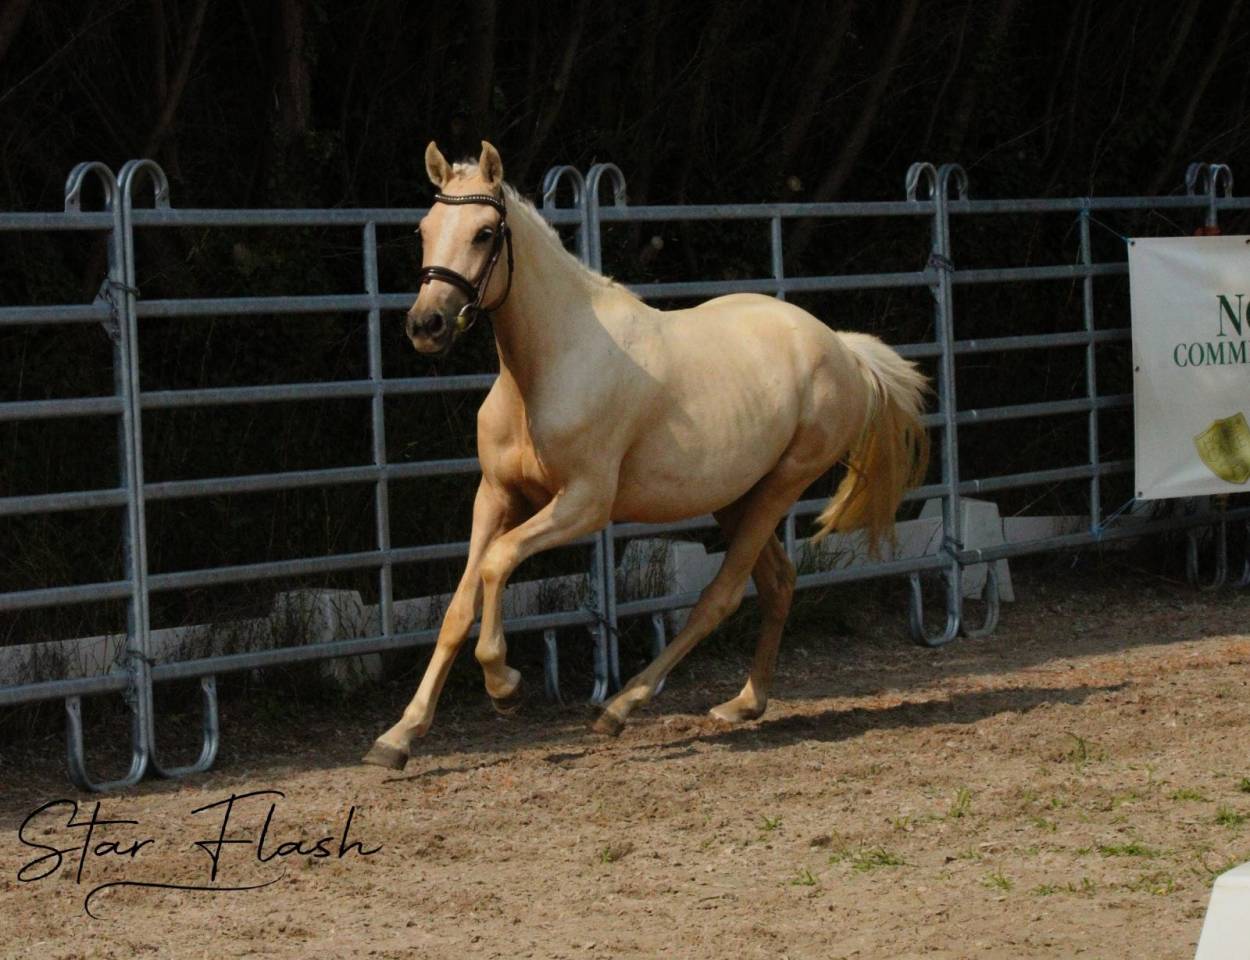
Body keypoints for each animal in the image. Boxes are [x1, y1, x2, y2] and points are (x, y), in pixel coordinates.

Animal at [362, 141, 929, 770]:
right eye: (424, 228)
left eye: (485, 232)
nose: (426, 324)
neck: (550, 366)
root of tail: (843, 349)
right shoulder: (496, 496)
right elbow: (457, 609)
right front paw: (398, 737)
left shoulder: (583, 505)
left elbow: (497, 563)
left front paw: (504, 687)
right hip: (736, 496)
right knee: (778, 583)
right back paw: (743, 704)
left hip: (783, 485)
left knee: (720, 597)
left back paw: (619, 707)